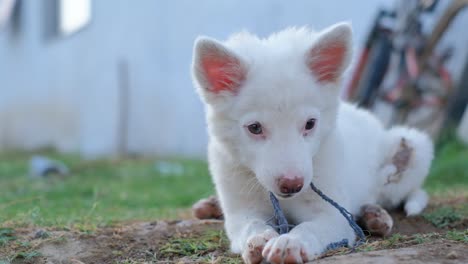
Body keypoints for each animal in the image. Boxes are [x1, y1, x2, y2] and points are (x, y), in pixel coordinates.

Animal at [190, 22, 432, 264]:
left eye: (310, 124)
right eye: (255, 128)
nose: (292, 185)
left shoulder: (333, 215)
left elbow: (310, 228)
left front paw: (291, 242)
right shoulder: (241, 211)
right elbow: (251, 225)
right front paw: (258, 239)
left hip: (412, 147)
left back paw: (375, 214)